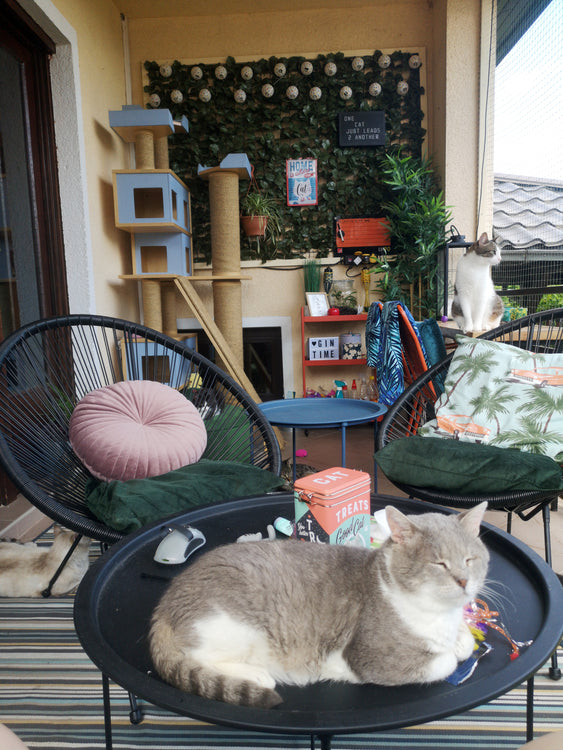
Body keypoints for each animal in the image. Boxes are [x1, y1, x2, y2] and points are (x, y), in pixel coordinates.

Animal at [149, 502, 490, 708]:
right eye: (439, 563)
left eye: (469, 560)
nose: (464, 582)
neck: (437, 613)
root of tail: (164, 603)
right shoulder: (372, 659)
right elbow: (446, 661)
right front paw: (448, 651)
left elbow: (462, 642)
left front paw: (460, 638)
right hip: (231, 626)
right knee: (197, 657)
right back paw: (256, 675)